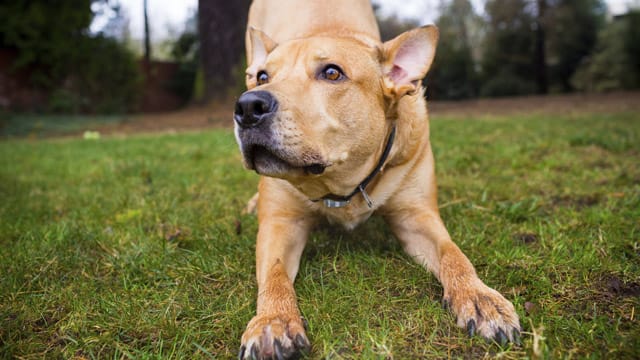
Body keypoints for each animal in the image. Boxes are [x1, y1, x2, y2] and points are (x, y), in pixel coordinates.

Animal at [234, 0, 520, 358]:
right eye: (263, 76)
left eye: (332, 73)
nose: (248, 106)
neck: (341, 181)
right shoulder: (281, 223)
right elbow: (274, 276)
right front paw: (272, 321)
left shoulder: (417, 216)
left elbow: (454, 256)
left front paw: (479, 297)